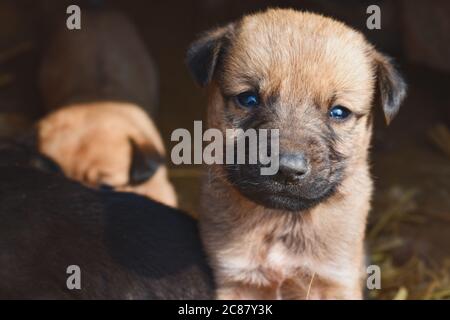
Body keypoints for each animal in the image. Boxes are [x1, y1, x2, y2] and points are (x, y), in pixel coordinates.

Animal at [185, 10, 406, 300]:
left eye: (339, 112)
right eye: (248, 99)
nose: (287, 170)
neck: (281, 222)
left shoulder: (335, 280)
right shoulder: (237, 280)